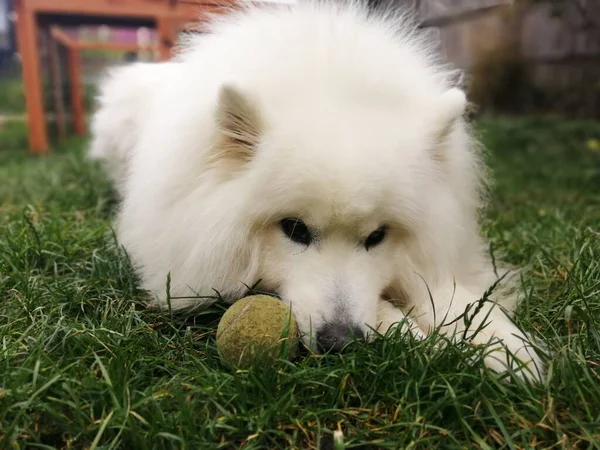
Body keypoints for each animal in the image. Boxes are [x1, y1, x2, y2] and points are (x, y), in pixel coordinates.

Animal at [89, 0, 544, 382]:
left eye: (377, 236)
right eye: (294, 229)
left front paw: (501, 345)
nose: (340, 341)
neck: (331, 86)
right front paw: (406, 329)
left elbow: (452, 295)